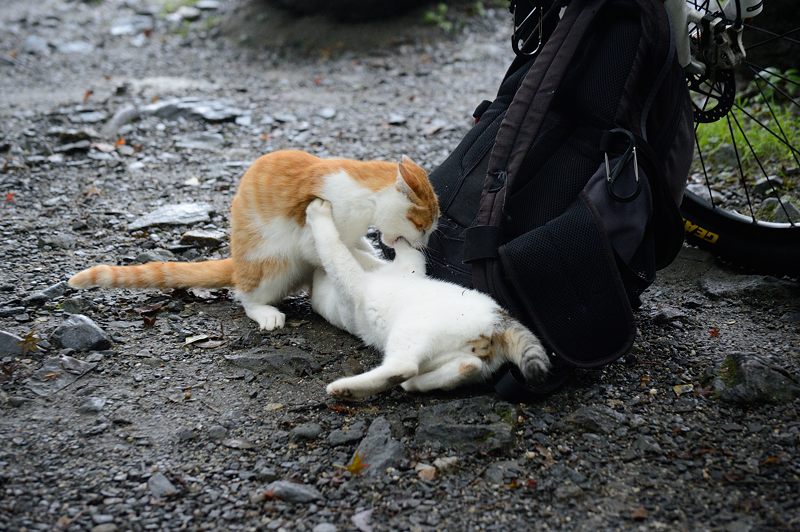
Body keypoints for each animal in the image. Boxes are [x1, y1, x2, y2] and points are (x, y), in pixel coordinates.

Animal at [69, 150, 440, 330]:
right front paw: (378, 264)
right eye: (424, 226)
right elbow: (342, 251)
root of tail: (236, 262)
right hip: (274, 262)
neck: (365, 199)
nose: (422, 244)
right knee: (245, 297)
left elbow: (358, 246)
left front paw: (374, 252)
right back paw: (264, 312)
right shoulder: (312, 237)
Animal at [306, 200, 552, 400]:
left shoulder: (409, 267)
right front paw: (318, 213)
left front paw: (393, 238)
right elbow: (333, 249)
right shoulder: (350, 284)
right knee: (406, 367)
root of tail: (498, 321)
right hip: (414, 331)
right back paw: (347, 389)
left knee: (460, 366)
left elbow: (409, 252)